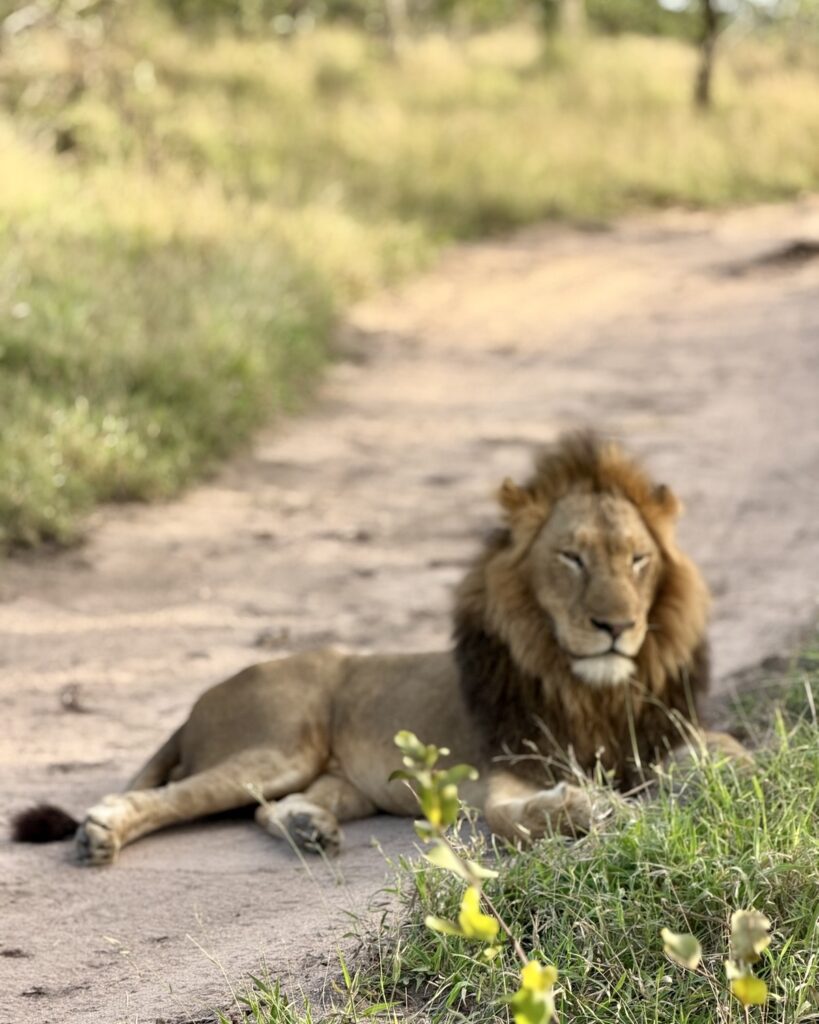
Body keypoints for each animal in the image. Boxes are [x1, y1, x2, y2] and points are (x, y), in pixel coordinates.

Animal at [13, 432, 742, 864]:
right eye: (571, 558)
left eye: (638, 560)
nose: (616, 626)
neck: (589, 686)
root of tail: (202, 699)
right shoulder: (507, 768)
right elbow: (513, 816)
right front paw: (590, 805)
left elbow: (725, 753)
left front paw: (719, 780)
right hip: (277, 744)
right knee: (167, 797)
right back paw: (100, 833)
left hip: (340, 782)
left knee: (267, 809)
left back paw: (308, 829)